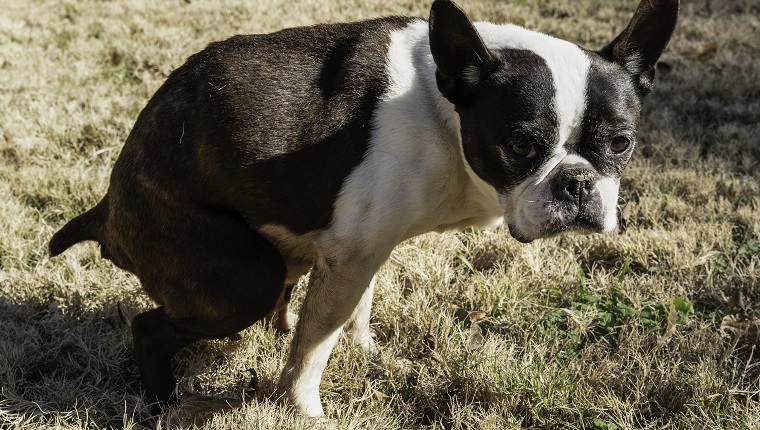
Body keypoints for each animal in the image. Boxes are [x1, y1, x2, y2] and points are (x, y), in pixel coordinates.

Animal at [50, 0, 680, 418]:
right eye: (521, 145)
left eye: (621, 143)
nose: (577, 183)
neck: (445, 111)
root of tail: (108, 206)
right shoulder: (351, 253)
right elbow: (312, 352)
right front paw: (303, 410)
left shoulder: (363, 249)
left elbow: (354, 311)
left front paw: (367, 352)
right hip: (235, 277)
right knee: (155, 326)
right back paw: (166, 402)